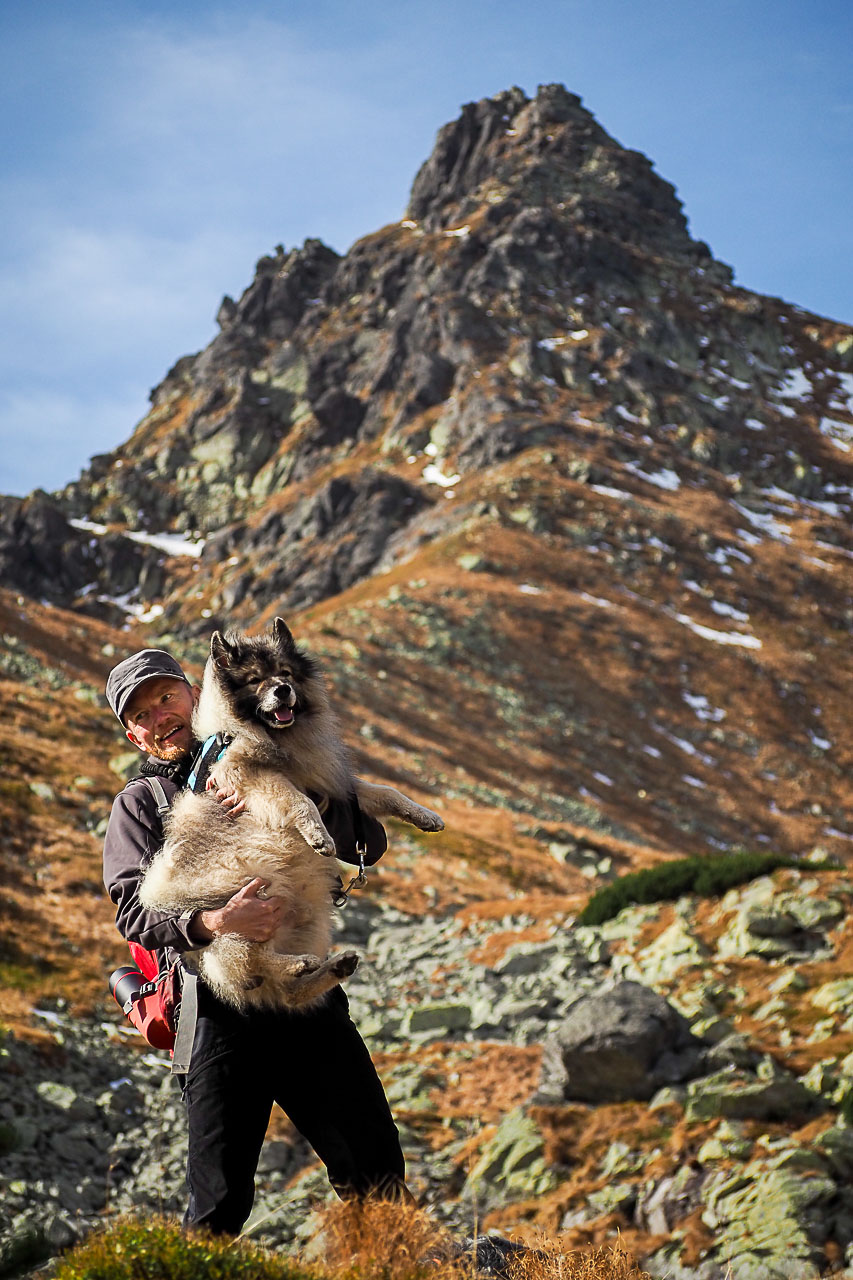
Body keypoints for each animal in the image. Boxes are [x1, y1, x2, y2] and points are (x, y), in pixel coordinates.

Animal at [137, 619, 445, 1008]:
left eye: (285, 673)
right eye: (255, 679)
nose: (282, 691)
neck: (278, 738)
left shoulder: (329, 782)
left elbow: (384, 792)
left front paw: (425, 816)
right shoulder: (253, 776)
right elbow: (299, 801)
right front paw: (318, 835)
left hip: (308, 916)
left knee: (283, 989)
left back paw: (330, 967)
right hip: (245, 894)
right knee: (247, 960)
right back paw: (297, 963)